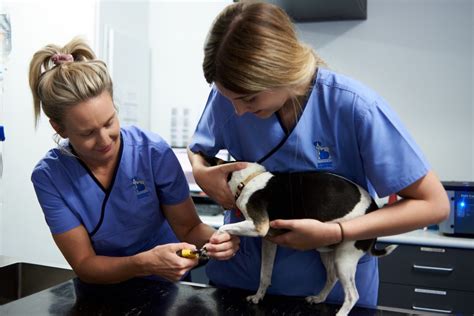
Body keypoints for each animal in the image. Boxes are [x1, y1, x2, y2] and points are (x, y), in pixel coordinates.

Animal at [209, 159, 398, 316]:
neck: (249, 179)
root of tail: (373, 208)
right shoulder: (269, 242)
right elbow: (265, 274)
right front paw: (258, 296)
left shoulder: (259, 226)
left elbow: (224, 228)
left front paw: (209, 246)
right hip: (327, 252)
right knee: (332, 277)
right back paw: (319, 298)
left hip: (345, 257)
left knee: (352, 295)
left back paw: (341, 312)